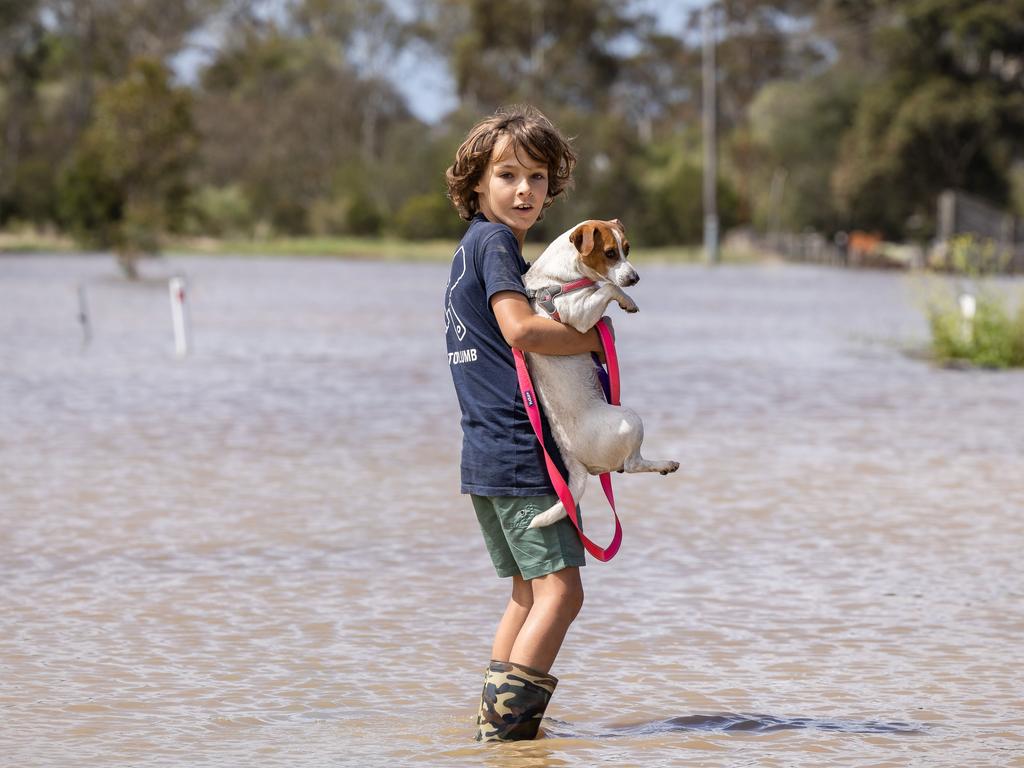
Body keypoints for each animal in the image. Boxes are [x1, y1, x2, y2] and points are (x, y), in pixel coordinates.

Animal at [524, 218, 675, 528]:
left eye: (627, 248)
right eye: (609, 253)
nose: (634, 278)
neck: (561, 277)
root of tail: (573, 462)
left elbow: (605, 301)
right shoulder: (578, 316)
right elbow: (607, 288)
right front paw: (627, 300)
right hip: (631, 420)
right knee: (631, 465)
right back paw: (665, 463)